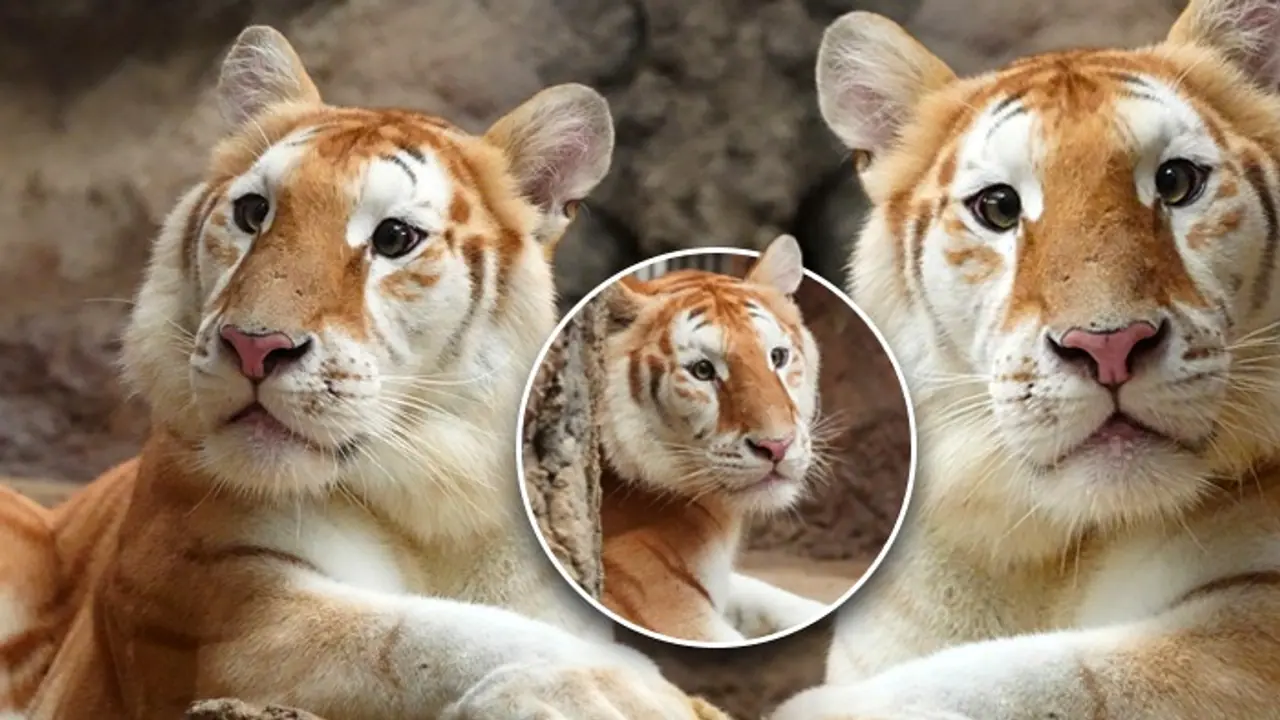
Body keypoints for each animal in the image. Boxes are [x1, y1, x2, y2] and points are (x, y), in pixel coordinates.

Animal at [0, 25, 704, 720]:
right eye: (254, 213)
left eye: (394, 238)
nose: (252, 346)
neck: (430, 514)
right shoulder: (217, 610)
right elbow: (423, 636)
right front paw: (628, 692)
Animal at [773, 0, 1280, 718]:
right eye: (999, 207)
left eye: (1177, 182)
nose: (1109, 345)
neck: (1052, 550)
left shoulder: (1252, 622)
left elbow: (1055, 677)